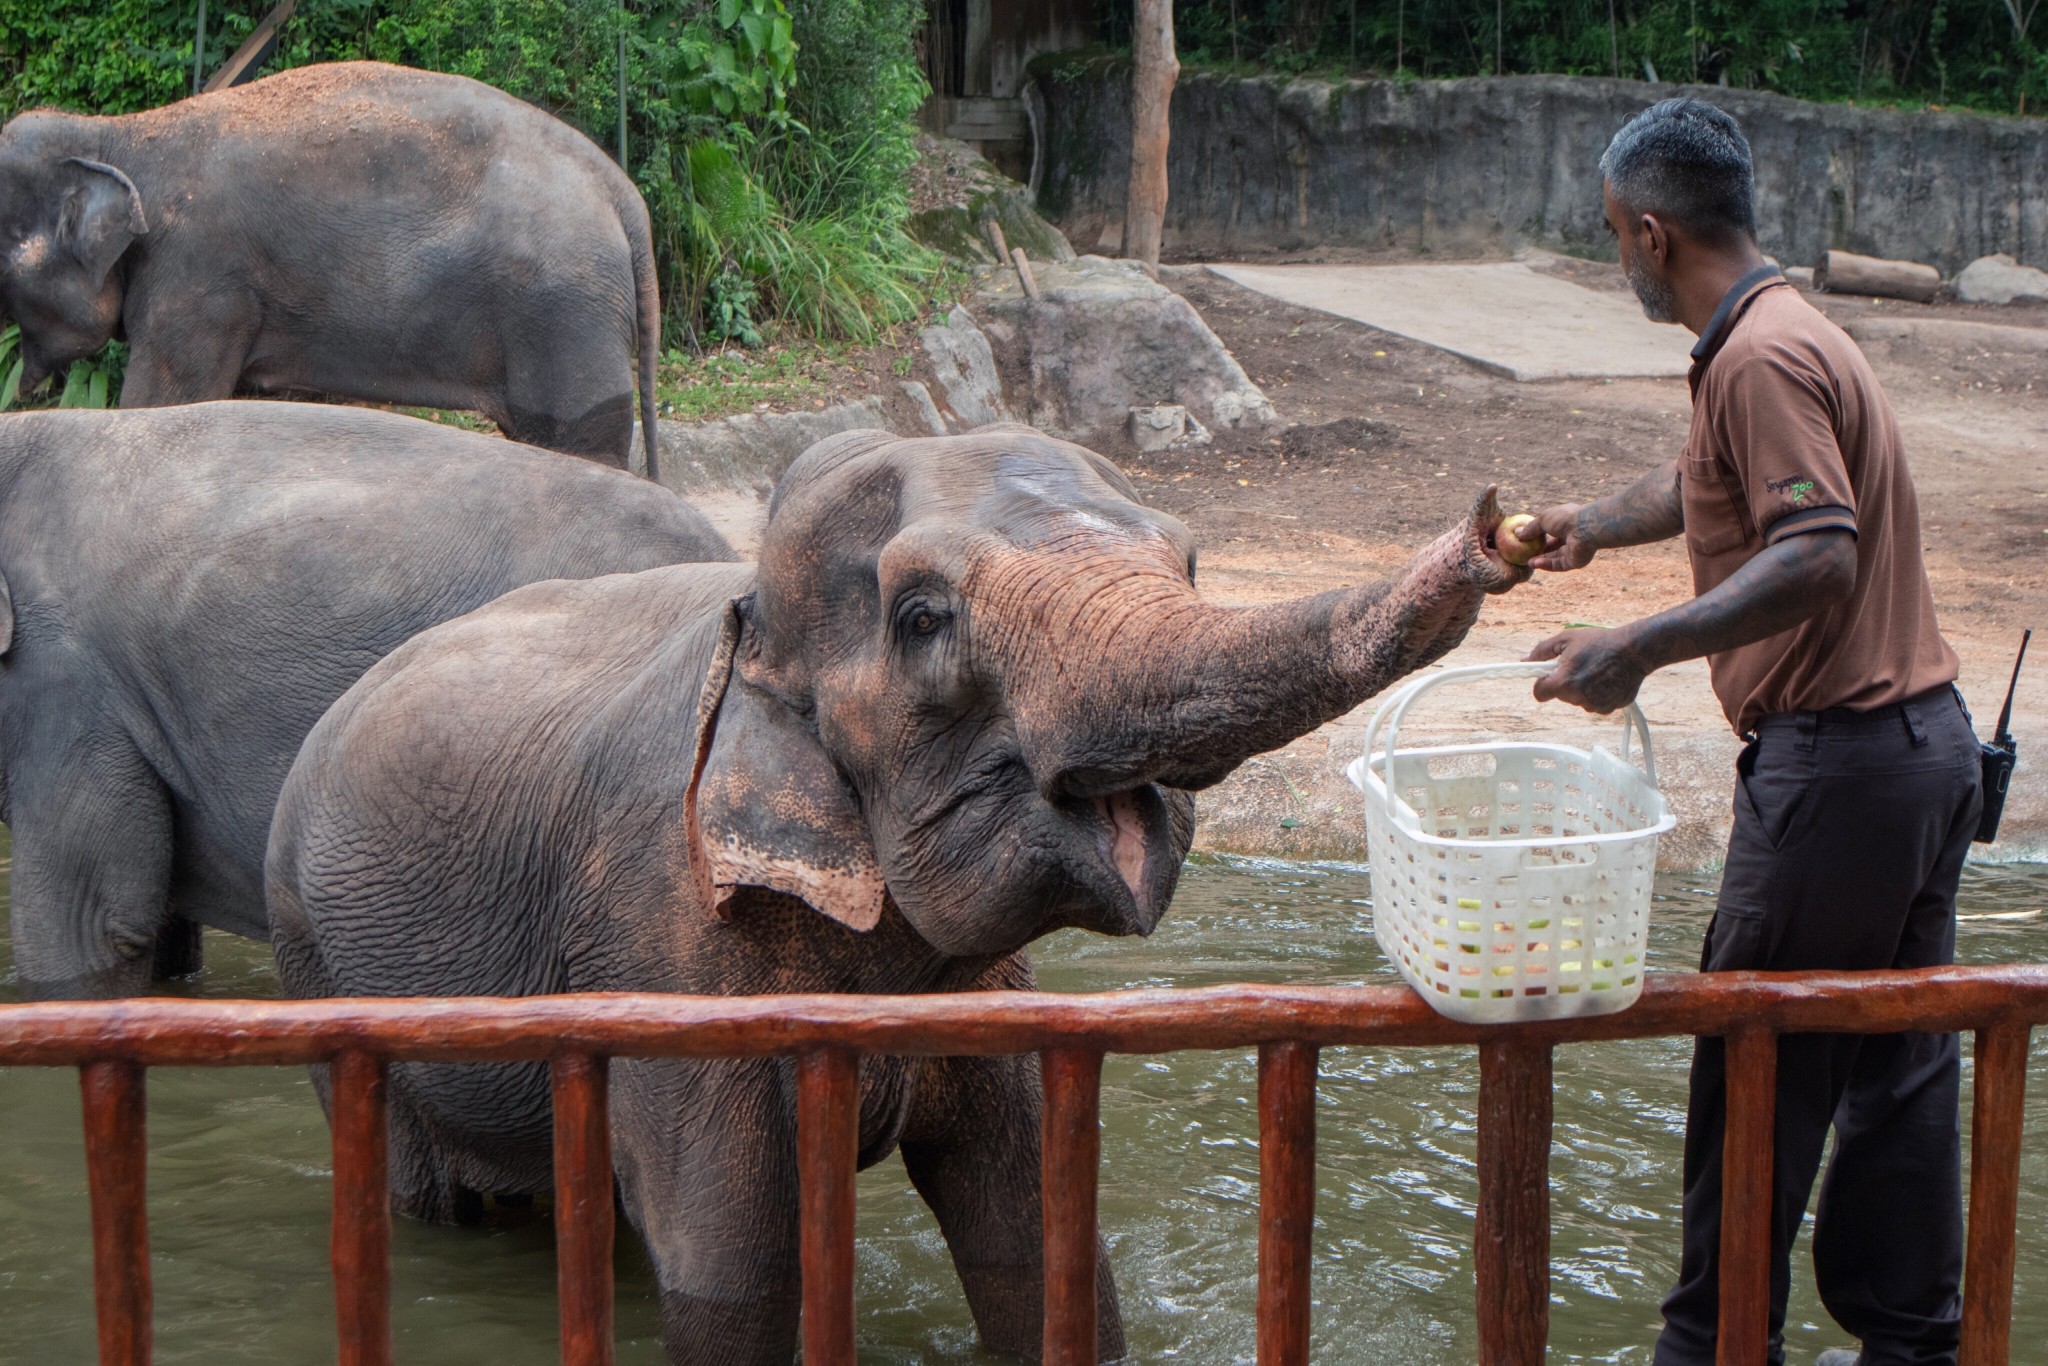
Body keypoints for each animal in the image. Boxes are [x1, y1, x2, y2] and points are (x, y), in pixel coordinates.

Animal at [0, 65, 663, 481]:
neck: (117, 133)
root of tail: (621, 191)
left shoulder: (198, 275)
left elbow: (163, 404)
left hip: (566, 316)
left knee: (582, 445)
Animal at [268, 421, 1523, 1359]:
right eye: (923, 620)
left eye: (1191, 564)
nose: (1502, 530)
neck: (746, 619)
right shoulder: (658, 936)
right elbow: (735, 1266)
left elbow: (1034, 1234)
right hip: (314, 958)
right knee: (424, 1192)